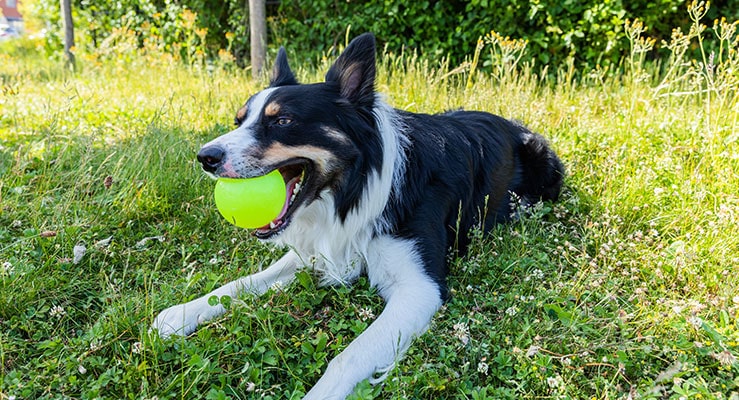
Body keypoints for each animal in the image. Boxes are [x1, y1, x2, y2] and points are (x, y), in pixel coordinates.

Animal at [153, 32, 564, 398]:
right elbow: (240, 283)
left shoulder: (419, 288)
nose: (205, 157)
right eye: (239, 121)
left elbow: (347, 359)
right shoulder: (320, 249)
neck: (354, 187)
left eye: (283, 121)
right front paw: (180, 314)